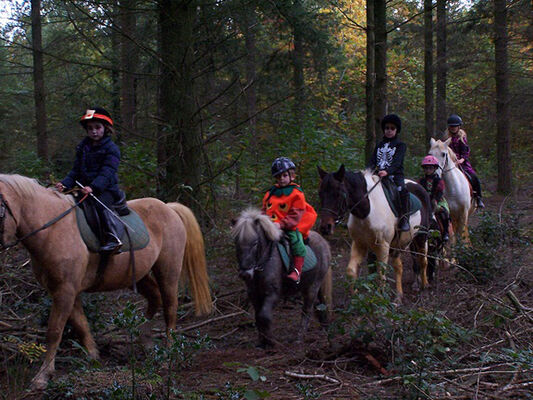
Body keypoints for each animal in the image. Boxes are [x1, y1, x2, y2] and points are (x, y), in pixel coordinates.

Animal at [0, 173, 212, 390]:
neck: (53, 229)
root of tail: (169, 208)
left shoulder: (65, 290)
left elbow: (54, 330)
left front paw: (42, 376)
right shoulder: (66, 290)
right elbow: (81, 324)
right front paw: (93, 357)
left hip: (168, 271)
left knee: (170, 306)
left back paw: (167, 353)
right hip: (139, 274)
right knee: (155, 298)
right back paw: (145, 340)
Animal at [231, 208, 330, 348]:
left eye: (255, 243)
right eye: (236, 242)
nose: (245, 274)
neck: (263, 263)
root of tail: (324, 243)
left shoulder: (273, 293)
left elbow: (264, 316)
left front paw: (270, 342)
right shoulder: (254, 294)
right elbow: (257, 316)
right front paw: (262, 341)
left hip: (313, 286)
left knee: (307, 310)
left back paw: (299, 337)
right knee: (320, 306)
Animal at [318, 164, 430, 302]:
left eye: (338, 194)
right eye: (320, 193)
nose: (325, 227)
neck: (367, 211)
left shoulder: (383, 245)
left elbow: (381, 273)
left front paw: (380, 299)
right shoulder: (359, 243)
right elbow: (351, 271)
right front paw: (355, 296)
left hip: (421, 236)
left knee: (423, 260)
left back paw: (424, 287)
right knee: (398, 266)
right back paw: (399, 295)